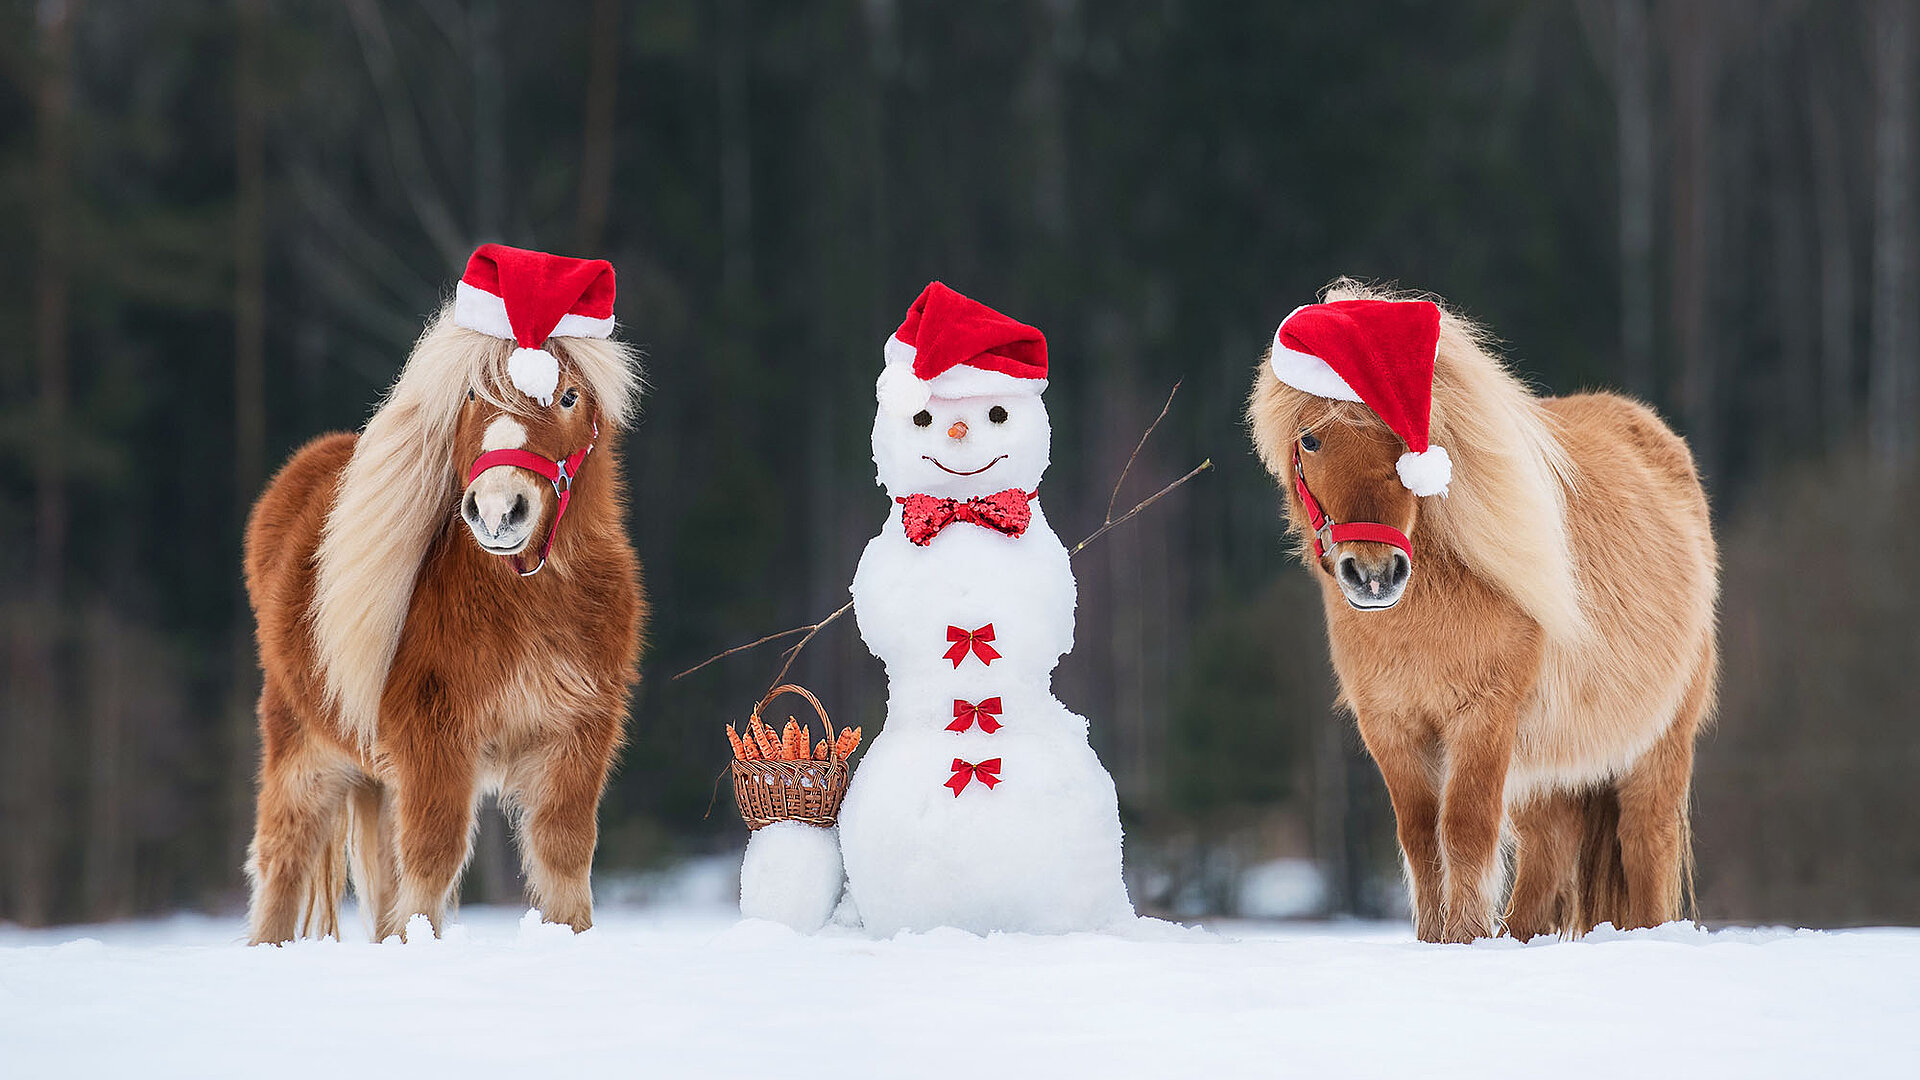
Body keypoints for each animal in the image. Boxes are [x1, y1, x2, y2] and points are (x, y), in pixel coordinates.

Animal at [243, 306, 644, 944]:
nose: (499, 510)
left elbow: (565, 853)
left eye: (568, 396)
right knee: (284, 857)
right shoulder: (436, 740)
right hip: (304, 749)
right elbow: (434, 855)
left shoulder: (576, 736)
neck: (524, 600)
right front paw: (419, 942)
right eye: (473, 397)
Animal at [1246, 280, 1717, 943]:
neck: (1426, 615)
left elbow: (1464, 831)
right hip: (1547, 770)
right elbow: (1421, 839)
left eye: (1405, 439)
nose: (1373, 573)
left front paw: (1464, 940)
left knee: (1645, 842)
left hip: (1656, 747)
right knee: (1548, 854)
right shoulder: (1391, 727)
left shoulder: (1484, 718)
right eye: (1310, 438)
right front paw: (1434, 941)